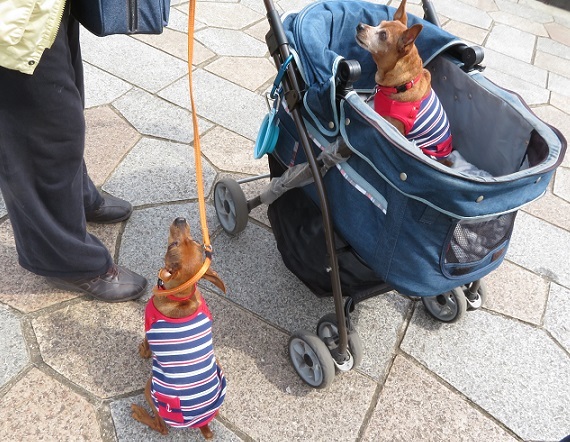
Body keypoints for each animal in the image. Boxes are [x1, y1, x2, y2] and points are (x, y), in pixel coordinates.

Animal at [130, 216, 225, 436]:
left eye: (172, 245)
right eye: (198, 241)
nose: (180, 218)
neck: (181, 297)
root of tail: (202, 423)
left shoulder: (148, 325)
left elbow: (146, 345)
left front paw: (144, 351)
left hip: (151, 389)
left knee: (161, 427)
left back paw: (140, 414)